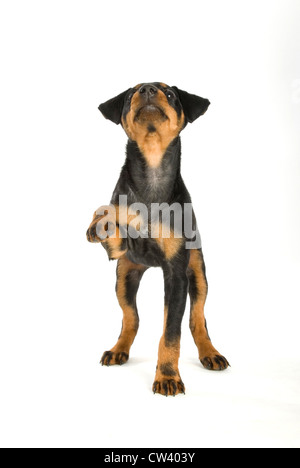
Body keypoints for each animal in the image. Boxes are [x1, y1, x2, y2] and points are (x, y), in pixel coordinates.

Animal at [86, 83, 230, 394]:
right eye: (130, 95)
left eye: (171, 94)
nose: (148, 89)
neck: (151, 177)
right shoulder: (118, 251)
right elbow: (106, 213)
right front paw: (100, 226)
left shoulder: (176, 275)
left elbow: (171, 333)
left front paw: (167, 377)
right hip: (124, 277)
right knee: (131, 318)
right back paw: (118, 349)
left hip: (197, 274)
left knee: (197, 320)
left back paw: (210, 353)